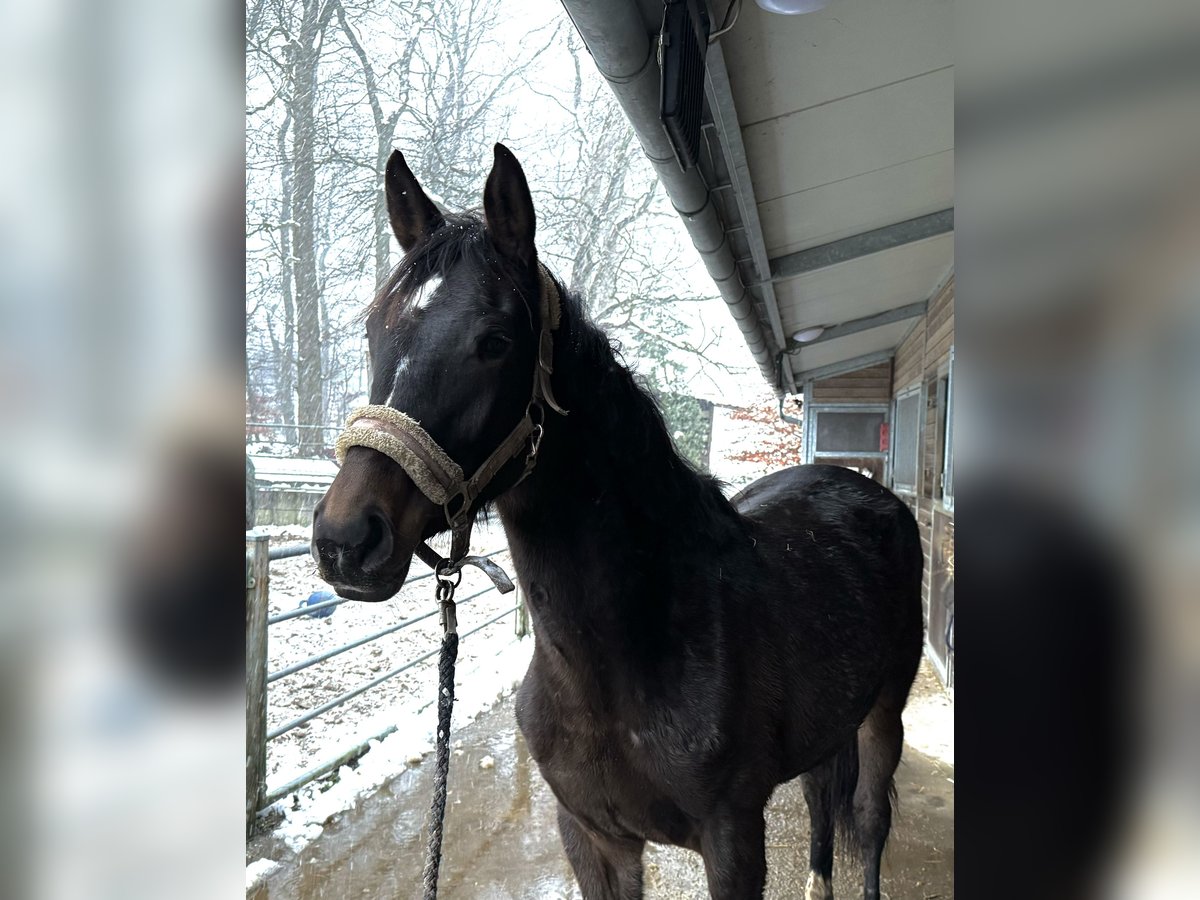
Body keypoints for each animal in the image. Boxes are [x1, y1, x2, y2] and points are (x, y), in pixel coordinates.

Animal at [314, 144, 921, 897]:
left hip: (883, 714)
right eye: (374, 332)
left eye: (495, 341)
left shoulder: (734, 843)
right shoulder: (593, 838)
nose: (345, 540)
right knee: (819, 803)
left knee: (867, 821)